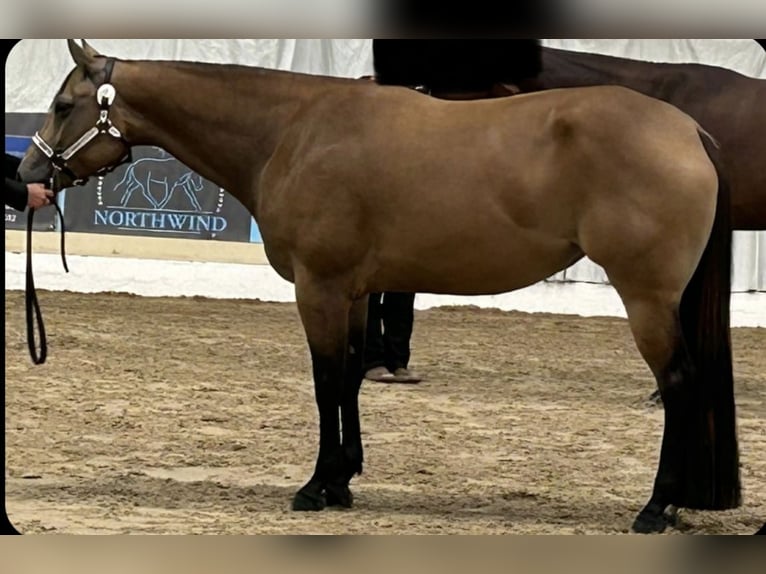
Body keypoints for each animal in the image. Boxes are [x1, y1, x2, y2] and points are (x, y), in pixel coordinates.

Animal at [19, 40, 741, 534]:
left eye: (62, 105)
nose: (27, 173)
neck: (293, 132)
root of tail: (689, 131)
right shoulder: (357, 291)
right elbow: (350, 379)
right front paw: (343, 479)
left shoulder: (319, 289)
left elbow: (325, 382)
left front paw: (316, 486)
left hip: (646, 300)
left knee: (680, 385)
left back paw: (656, 507)